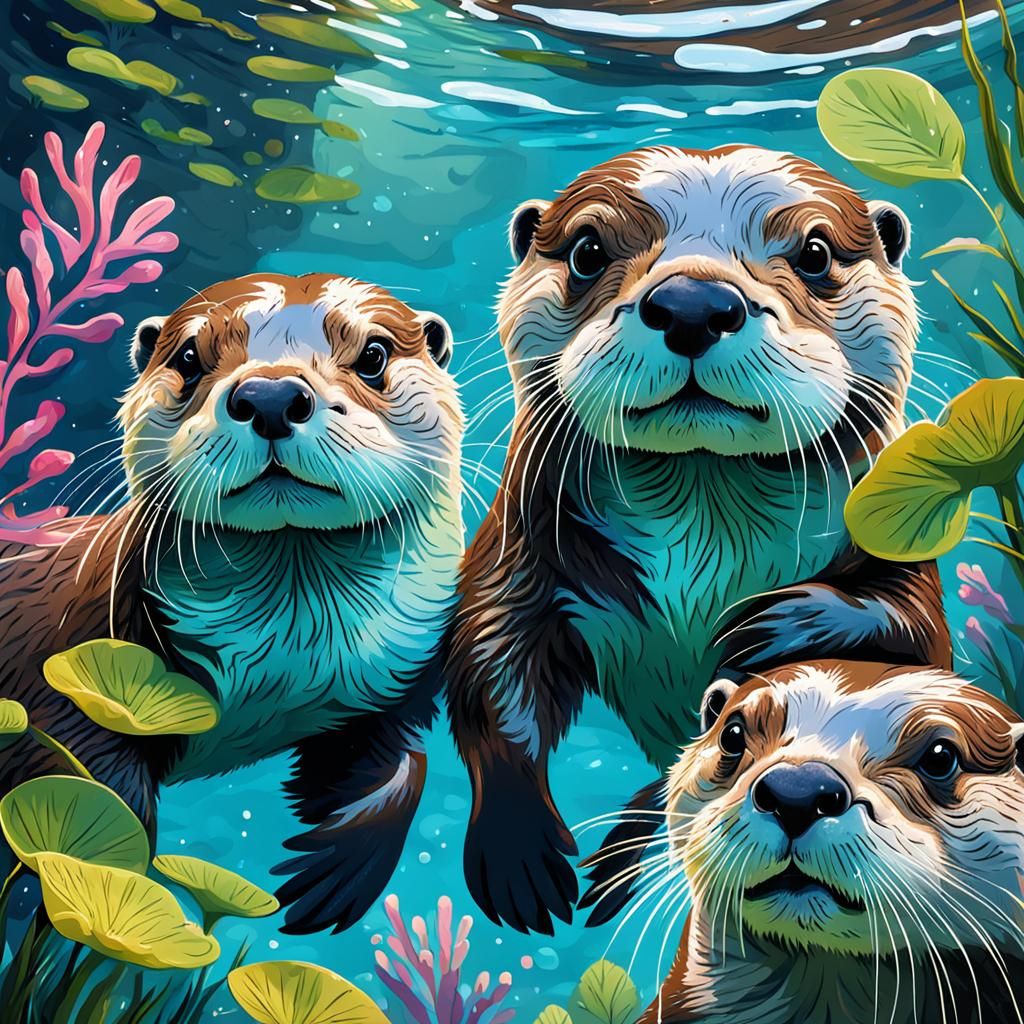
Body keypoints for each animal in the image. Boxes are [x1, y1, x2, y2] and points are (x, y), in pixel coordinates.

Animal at [0, 272, 463, 934]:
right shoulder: (66, 677)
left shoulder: (401, 671)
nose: (270, 395)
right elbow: (95, 795)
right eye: (189, 359)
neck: (288, 667)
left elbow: (400, 770)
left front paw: (328, 877)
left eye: (373, 355)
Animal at [446, 144, 949, 933]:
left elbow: (910, 634)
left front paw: (773, 622)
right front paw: (517, 851)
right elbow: (492, 662)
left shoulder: (894, 532)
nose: (693, 304)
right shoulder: (521, 547)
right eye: (588, 250)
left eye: (814, 253)